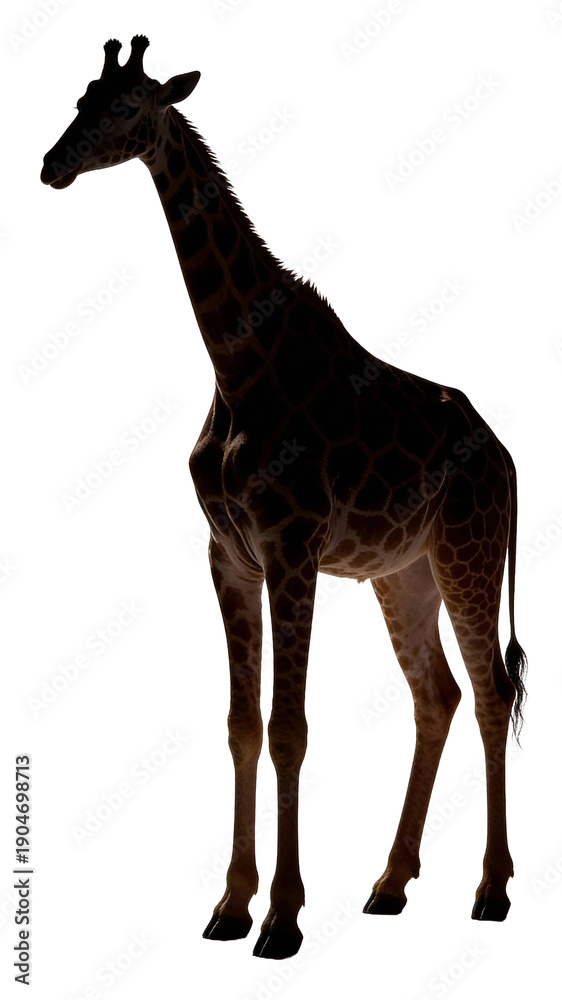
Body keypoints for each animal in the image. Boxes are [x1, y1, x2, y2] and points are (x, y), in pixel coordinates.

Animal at [41, 36, 527, 961]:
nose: (51, 166)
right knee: (438, 695)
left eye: (127, 107)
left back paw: (490, 891)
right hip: (400, 573)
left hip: (468, 553)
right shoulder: (229, 555)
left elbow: (289, 727)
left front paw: (283, 919)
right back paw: (389, 883)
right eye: (80, 99)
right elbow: (241, 724)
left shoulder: (291, 550)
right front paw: (231, 906)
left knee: (490, 694)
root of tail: (510, 459)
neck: (238, 364)